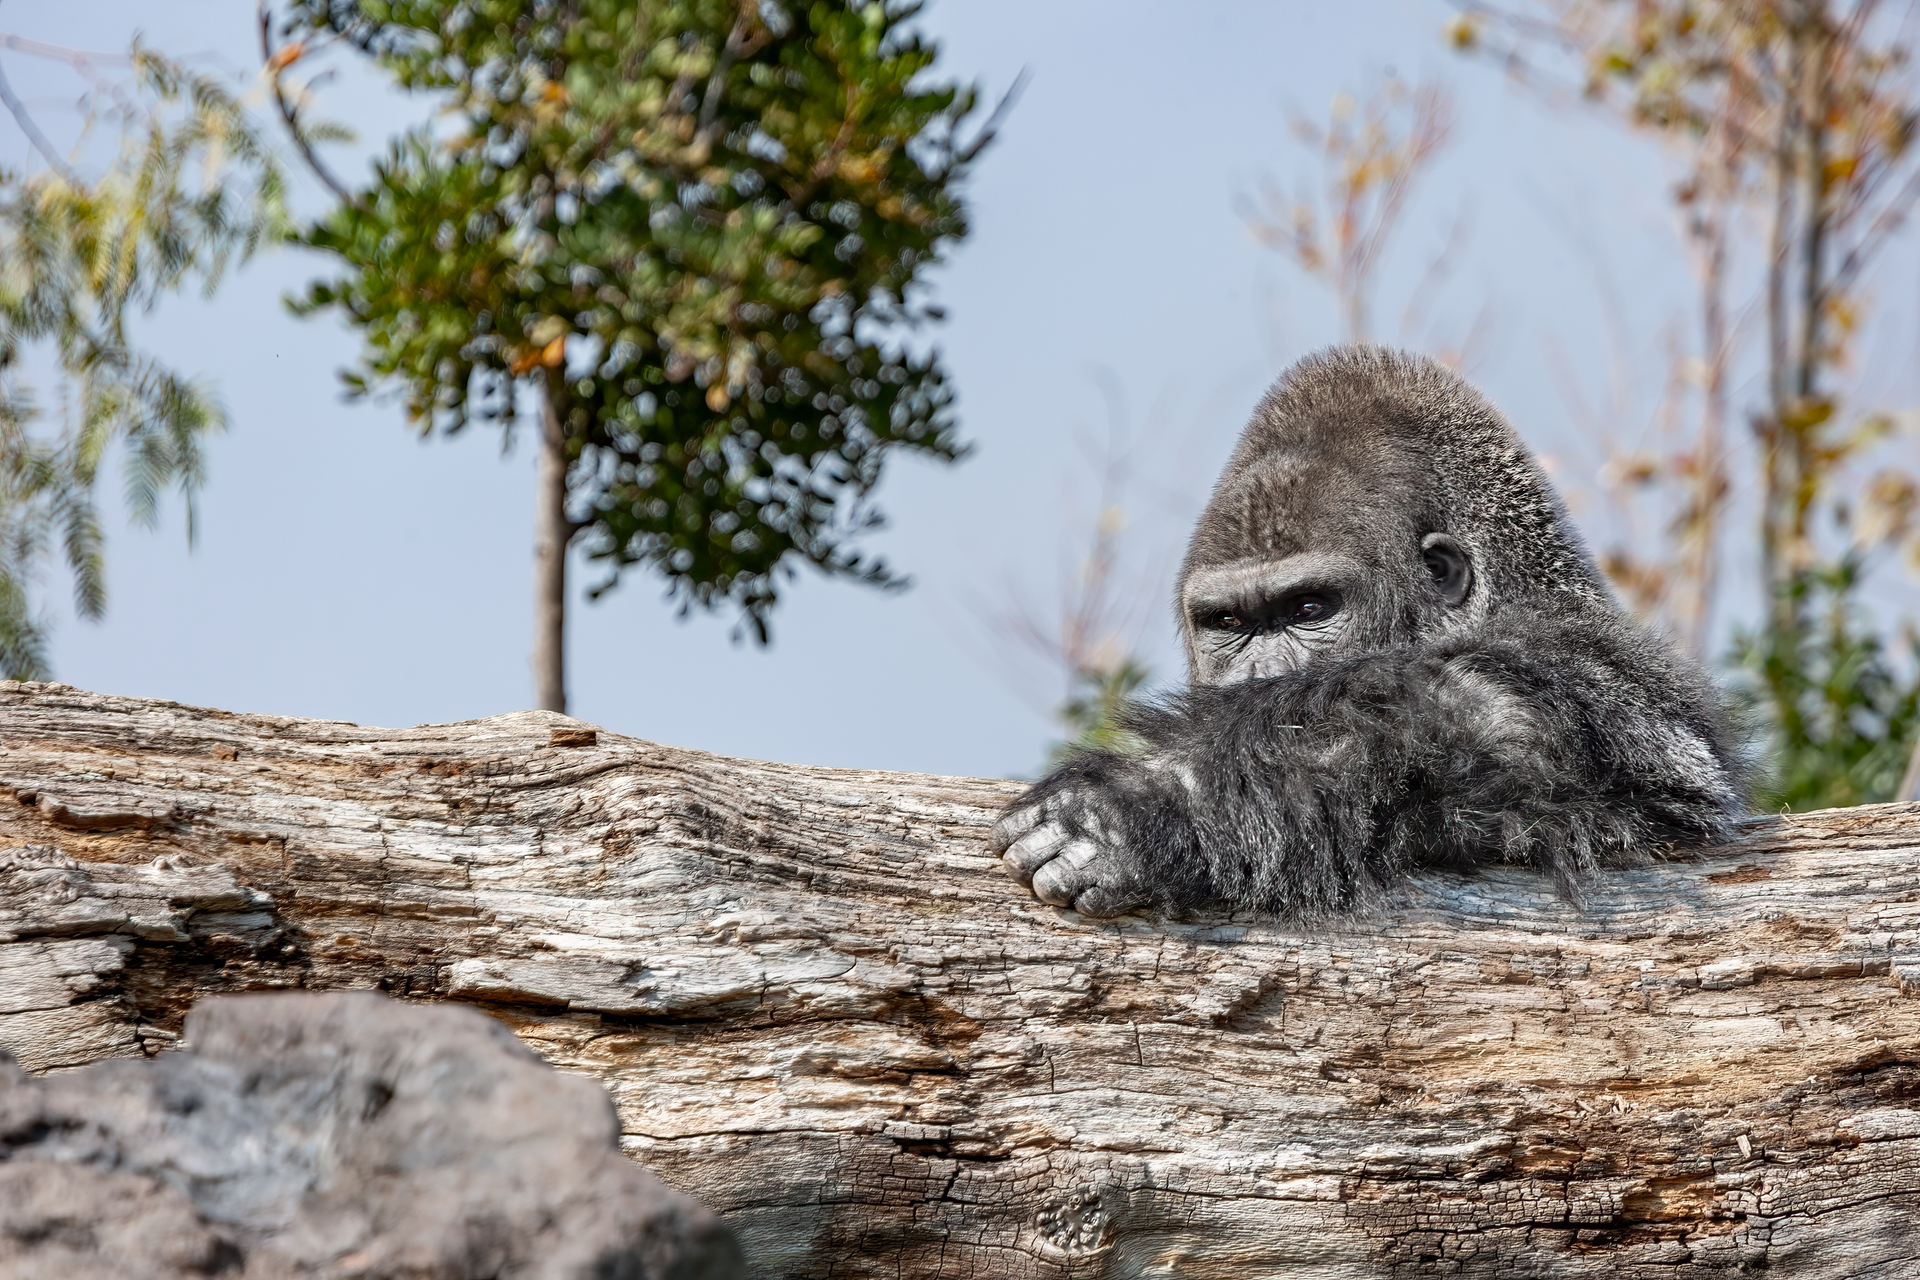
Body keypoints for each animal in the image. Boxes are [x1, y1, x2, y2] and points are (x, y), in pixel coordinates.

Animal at [992, 345, 1744, 919]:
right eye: (1228, 624)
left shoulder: (1603, 665)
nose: (1259, 683)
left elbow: (1506, 718)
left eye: (1310, 609)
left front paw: (1154, 803)